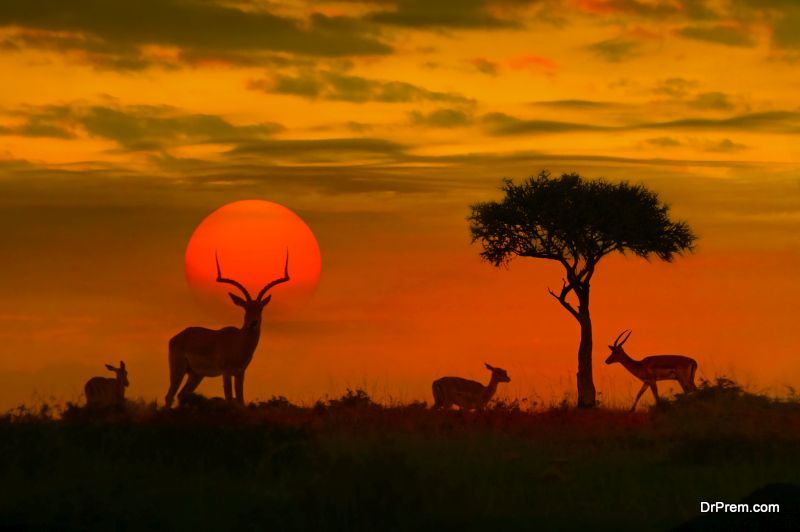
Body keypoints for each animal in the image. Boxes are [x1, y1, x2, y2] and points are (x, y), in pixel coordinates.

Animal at [164, 250, 290, 408]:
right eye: (245, 307)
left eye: (260, 308)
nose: (253, 322)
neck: (239, 343)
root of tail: (178, 336)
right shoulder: (226, 372)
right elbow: (229, 398)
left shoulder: (240, 373)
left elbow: (240, 399)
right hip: (178, 370)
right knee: (169, 396)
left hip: (196, 374)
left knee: (181, 395)